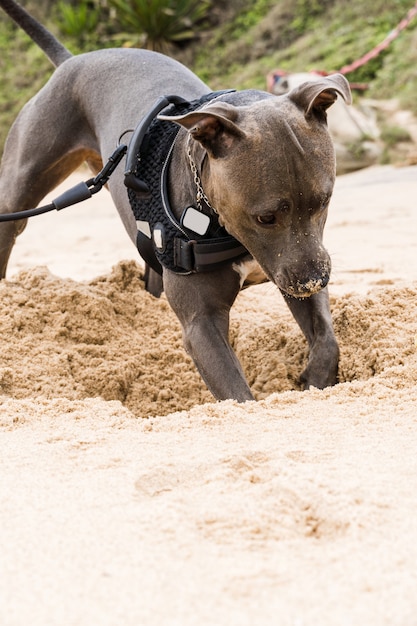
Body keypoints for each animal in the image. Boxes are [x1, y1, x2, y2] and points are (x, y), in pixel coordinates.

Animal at [0, 0, 352, 400]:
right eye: (264, 218)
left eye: (324, 200)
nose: (314, 280)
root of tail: (72, 60)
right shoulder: (203, 323)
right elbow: (239, 396)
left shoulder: (298, 261)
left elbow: (327, 340)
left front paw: (314, 380)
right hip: (18, 191)